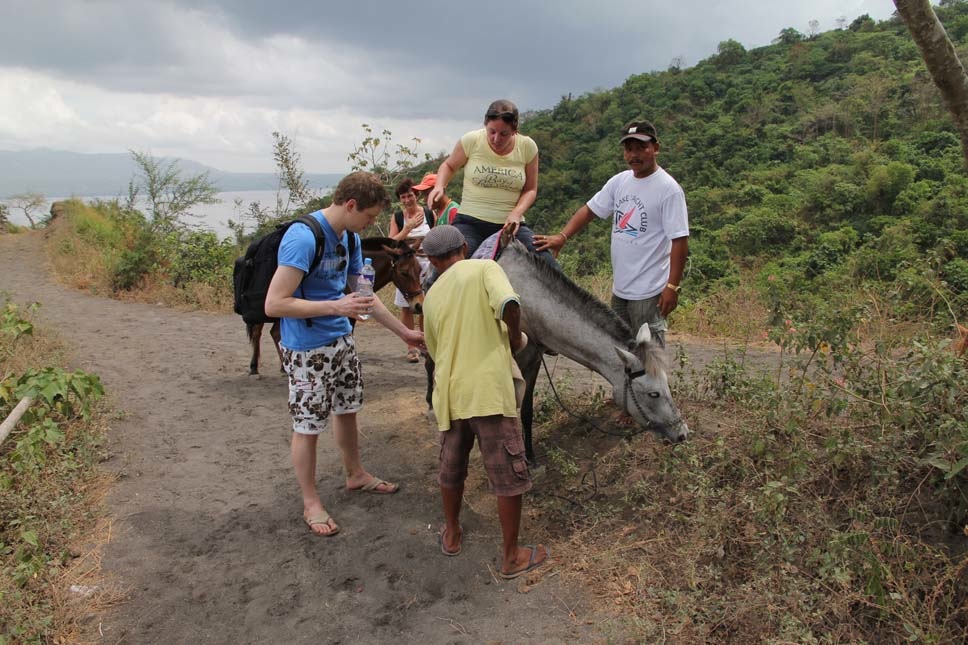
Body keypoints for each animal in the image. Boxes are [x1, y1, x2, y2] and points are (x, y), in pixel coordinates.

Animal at [248, 236, 422, 372]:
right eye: (404, 272)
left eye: (420, 269)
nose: (419, 304)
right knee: (259, 332)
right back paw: (256, 367)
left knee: (274, 333)